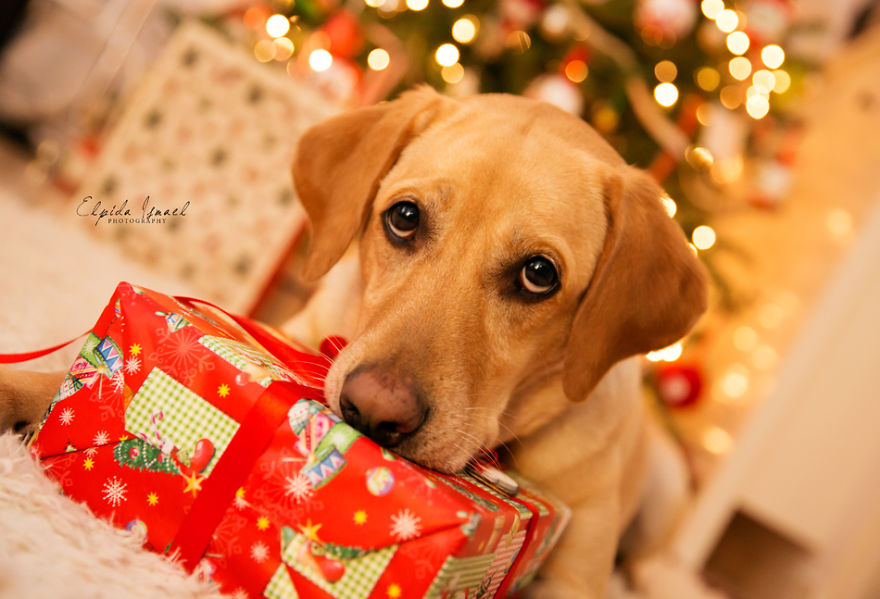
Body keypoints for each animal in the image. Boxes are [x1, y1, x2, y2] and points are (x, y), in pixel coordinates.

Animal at [0, 86, 700, 596]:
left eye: (538, 275)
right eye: (404, 218)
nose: (373, 411)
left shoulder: (577, 577)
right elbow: (52, 377)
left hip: (666, 490)